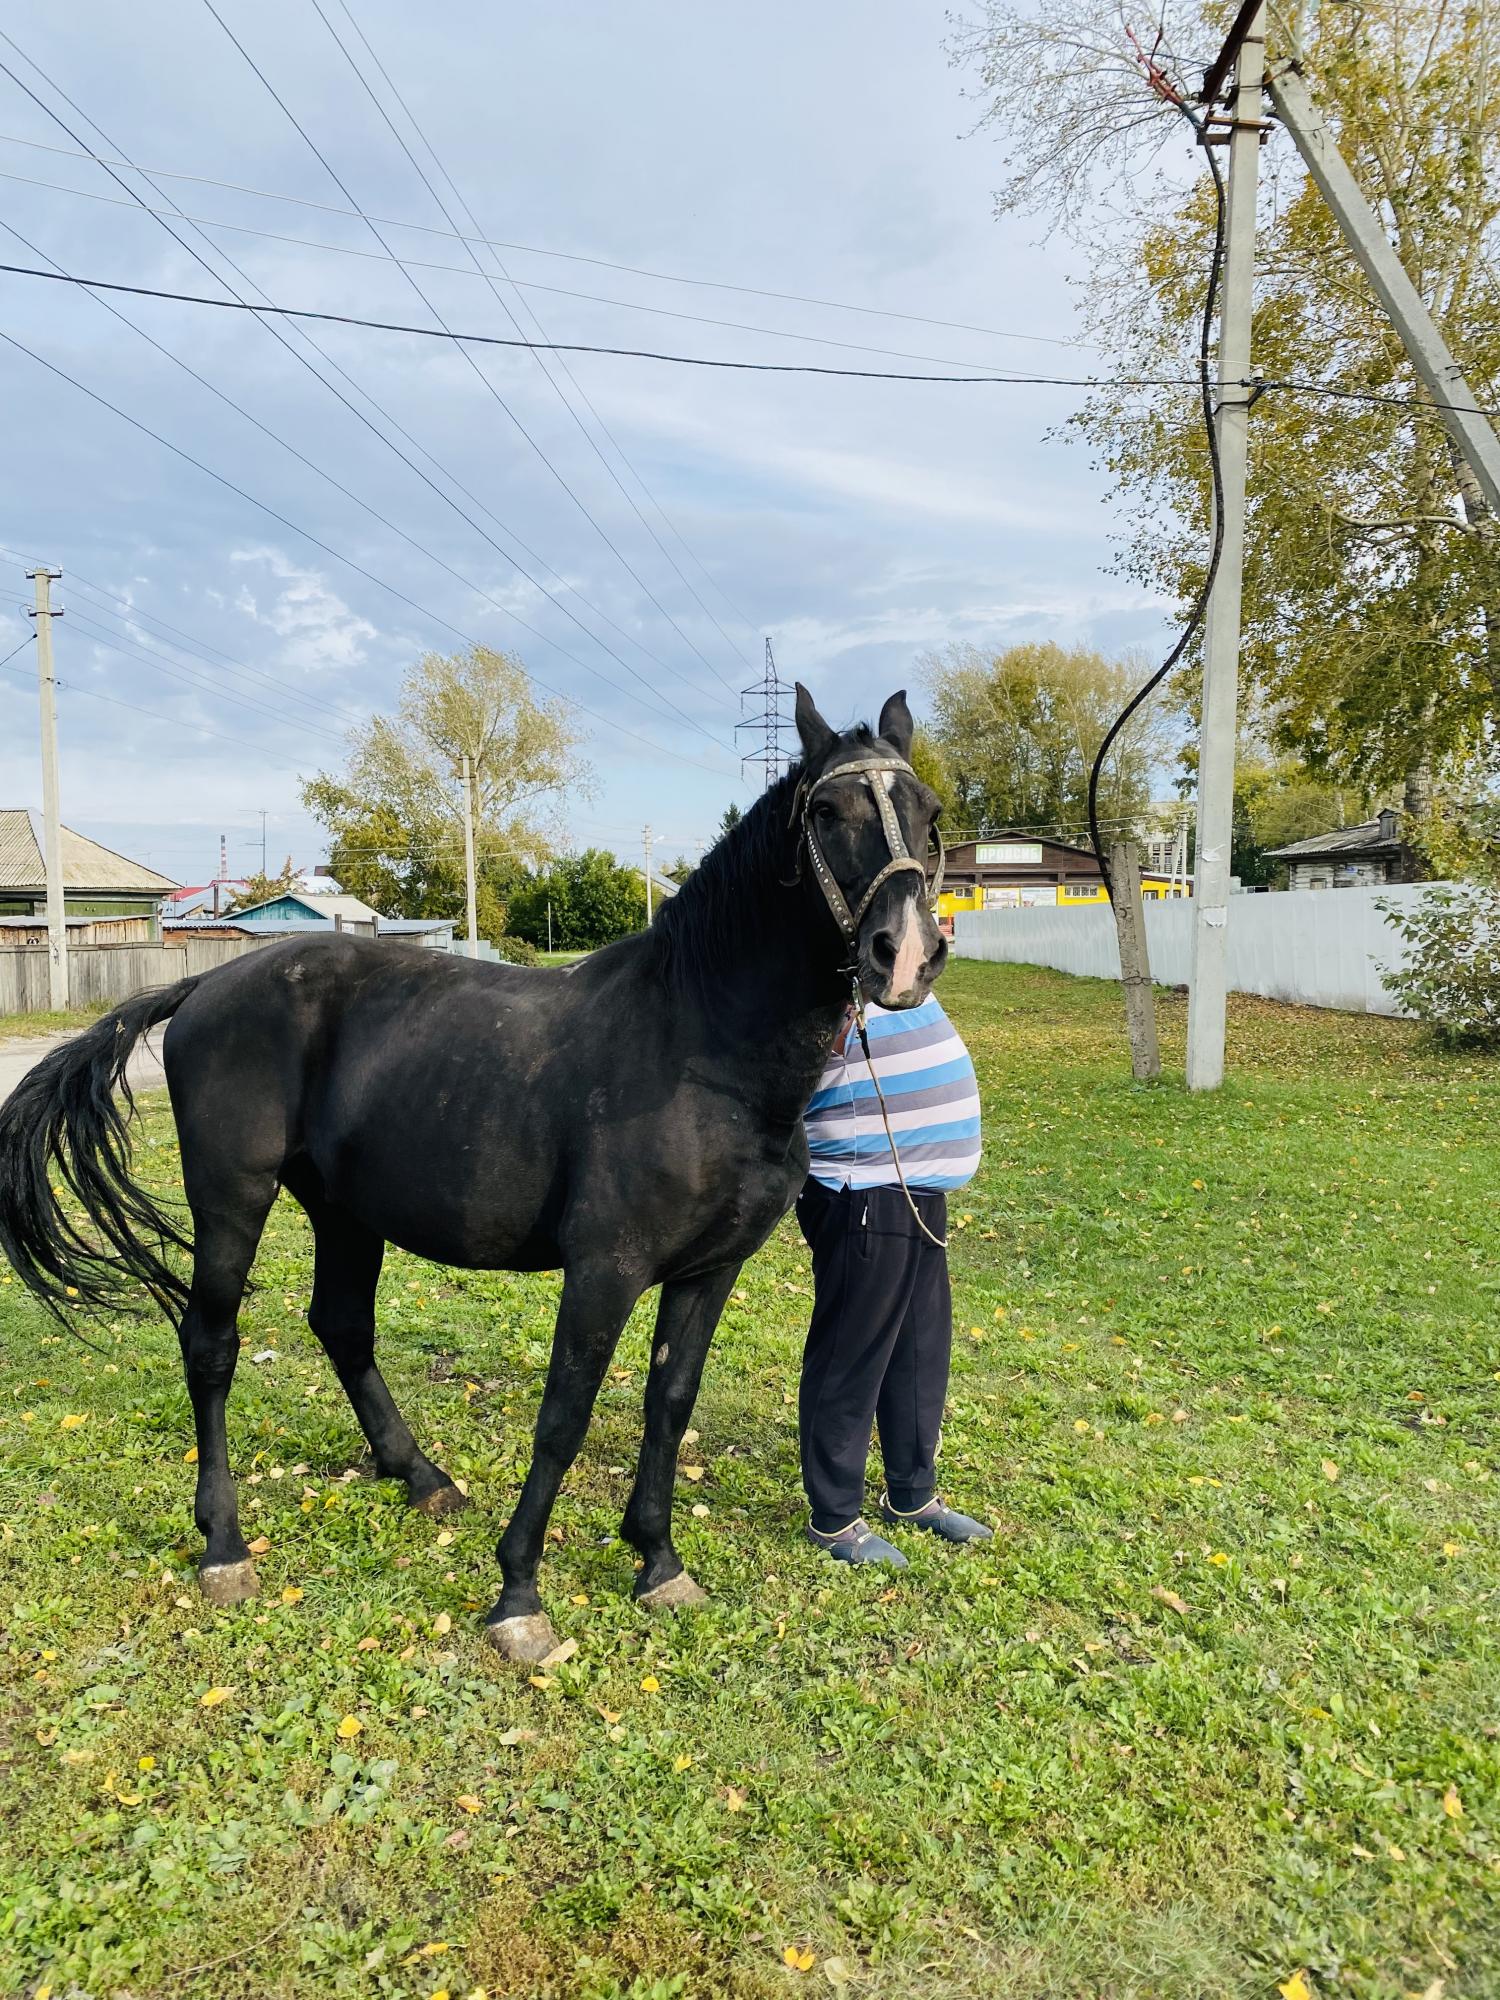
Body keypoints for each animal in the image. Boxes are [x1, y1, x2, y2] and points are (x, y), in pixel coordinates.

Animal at [0, 688, 940, 1656]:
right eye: (826, 813)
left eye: (929, 814)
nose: (904, 954)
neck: (698, 1044)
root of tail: (206, 989)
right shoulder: (604, 1270)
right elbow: (565, 1415)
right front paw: (520, 1592)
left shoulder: (709, 1272)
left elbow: (669, 1403)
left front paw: (657, 1561)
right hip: (233, 1200)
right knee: (210, 1345)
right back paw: (224, 1546)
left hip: (344, 1210)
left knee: (341, 1326)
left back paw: (419, 1476)